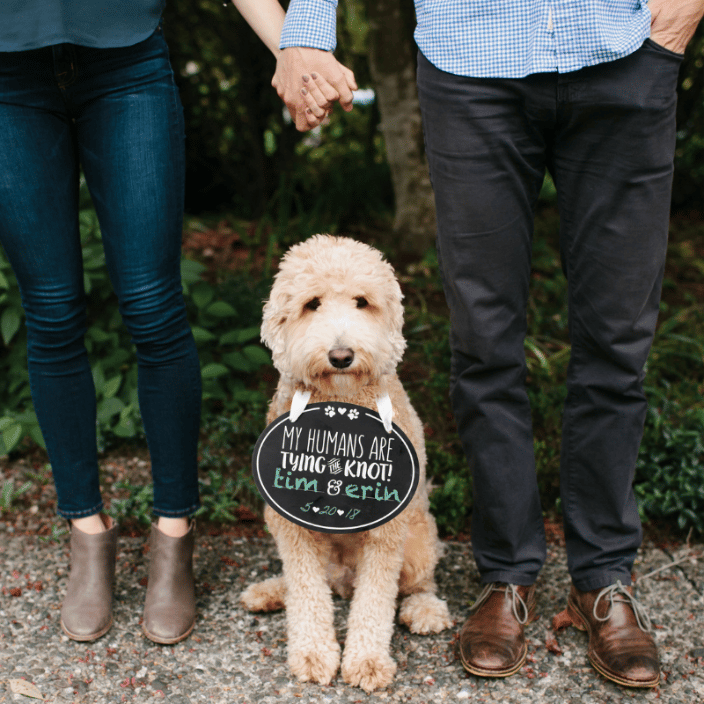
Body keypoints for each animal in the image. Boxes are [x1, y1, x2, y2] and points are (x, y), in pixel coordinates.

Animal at [241, 235, 452, 692]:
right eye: (312, 303)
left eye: (362, 302)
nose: (341, 355)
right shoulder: (291, 524)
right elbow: (306, 593)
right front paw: (313, 654)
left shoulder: (386, 533)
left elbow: (376, 601)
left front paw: (367, 661)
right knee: (309, 584)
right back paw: (272, 591)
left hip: (418, 541)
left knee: (417, 584)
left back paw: (425, 610)